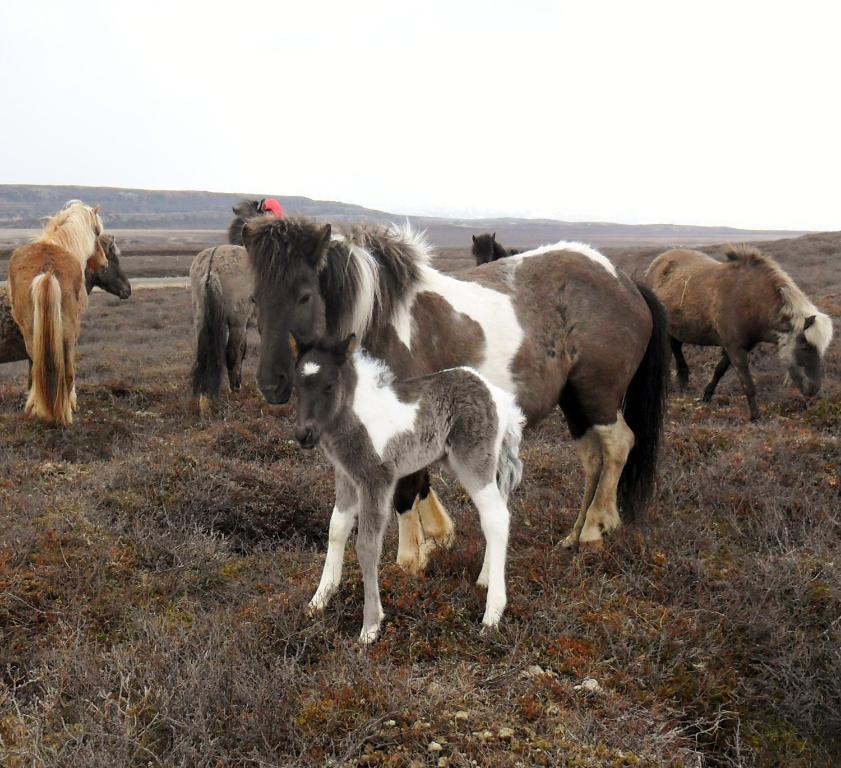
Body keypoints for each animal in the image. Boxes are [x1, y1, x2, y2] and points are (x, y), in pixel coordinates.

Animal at [8, 201, 105, 424]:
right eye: (97, 231)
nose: (104, 262)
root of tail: (48, 271)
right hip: (67, 331)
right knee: (65, 371)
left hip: (34, 333)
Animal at [243, 214, 668, 568]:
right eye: (255, 298)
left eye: (305, 295)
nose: (272, 384)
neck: (379, 323)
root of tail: (626, 282)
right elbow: (417, 481)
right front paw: (437, 538)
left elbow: (406, 489)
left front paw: (408, 562)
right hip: (575, 401)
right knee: (593, 458)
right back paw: (574, 535)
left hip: (598, 393)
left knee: (618, 444)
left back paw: (595, 530)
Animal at [644, 244, 832, 420]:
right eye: (805, 347)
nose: (814, 389)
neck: (751, 299)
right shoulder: (735, 348)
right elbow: (748, 384)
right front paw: (755, 417)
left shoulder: (735, 347)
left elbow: (719, 371)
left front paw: (706, 396)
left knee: (676, 349)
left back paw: (682, 382)